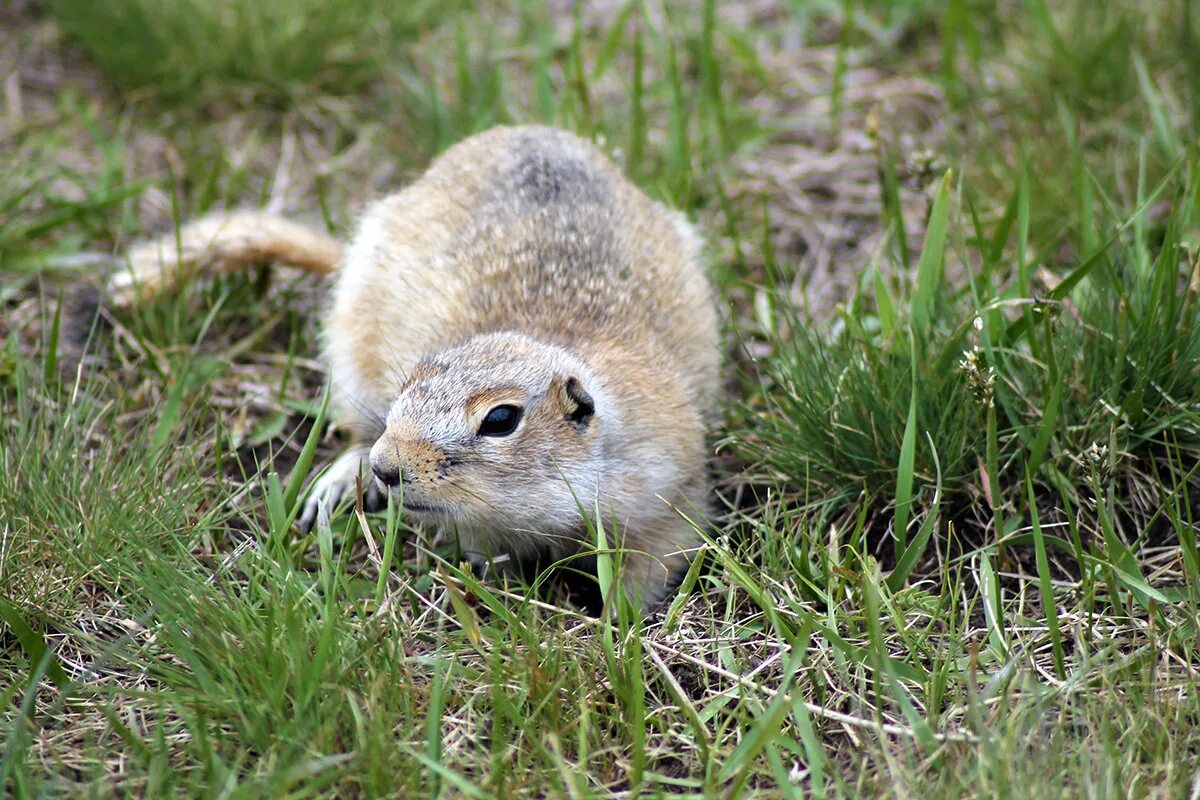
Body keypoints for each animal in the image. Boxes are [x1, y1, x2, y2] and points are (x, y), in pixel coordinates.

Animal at [117, 126, 720, 614]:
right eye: (408, 384)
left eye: (501, 420)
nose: (389, 467)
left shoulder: (666, 498)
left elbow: (648, 567)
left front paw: (620, 626)